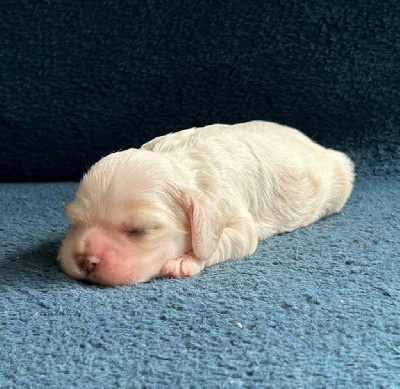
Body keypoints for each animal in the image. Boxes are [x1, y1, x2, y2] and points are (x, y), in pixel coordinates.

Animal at [58, 119, 354, 284]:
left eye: (141, 230)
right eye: (73, 222)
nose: (85, 260)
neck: (179, 161)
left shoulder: (234, 215)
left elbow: (225, 240)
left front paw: (184, 261)